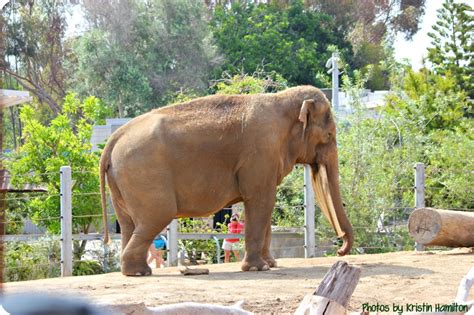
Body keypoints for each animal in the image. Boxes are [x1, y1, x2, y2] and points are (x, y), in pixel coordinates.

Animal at [99, 86, 352, 276]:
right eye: (329, 135)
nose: (340, 250)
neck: (281, 98)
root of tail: (114, 138)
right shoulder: (261, 154)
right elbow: (261, 201)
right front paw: (258, 268)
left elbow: (265, 205)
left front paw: (271, 265)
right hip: (144, 175)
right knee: (157, 215)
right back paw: (139, 273)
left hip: (122, 183)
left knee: (130, 224)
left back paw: (134, 270)